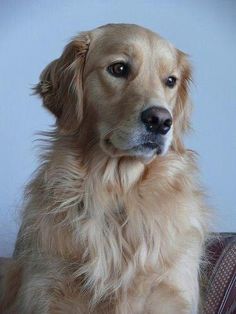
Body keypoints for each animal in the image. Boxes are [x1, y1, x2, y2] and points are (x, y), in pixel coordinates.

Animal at [0, 23, 209, 312]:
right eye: (119, 68)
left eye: (170, 81)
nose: (161, 121)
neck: (118, 192)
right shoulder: (48, 292)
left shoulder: (170, 293)